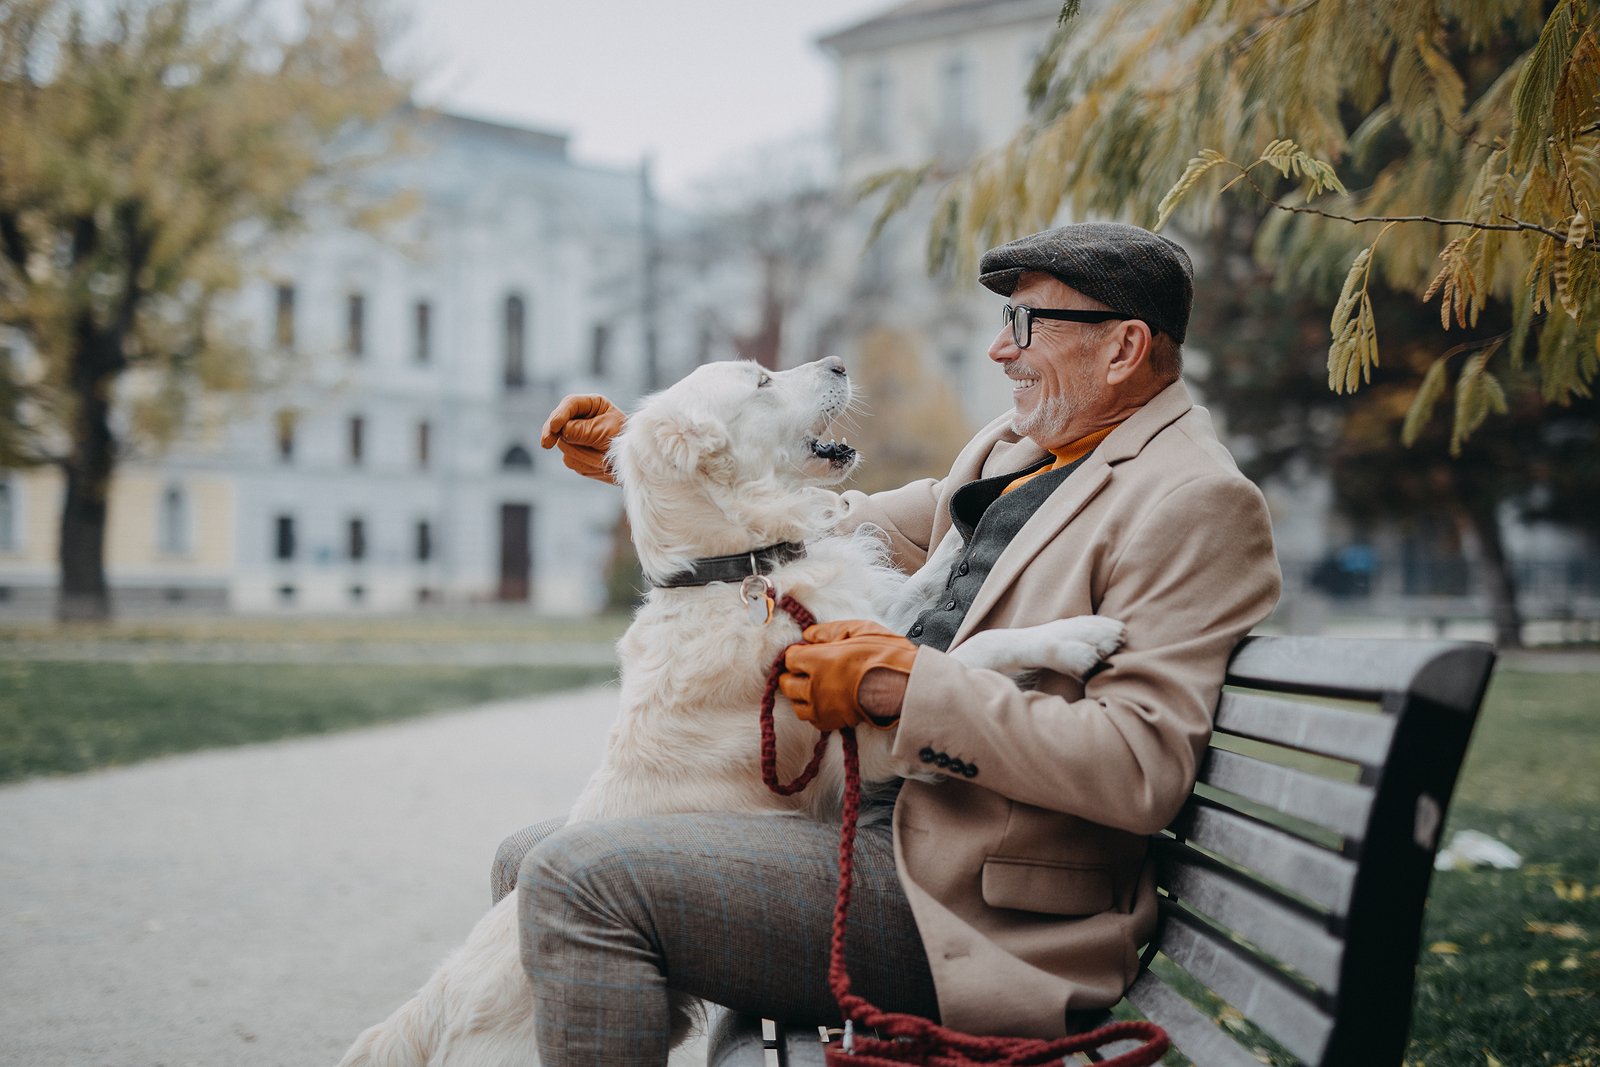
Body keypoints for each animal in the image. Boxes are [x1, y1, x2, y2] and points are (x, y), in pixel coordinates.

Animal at [336, 358, 1120, 1067]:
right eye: (763, 381)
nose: (840, 361)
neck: (742, 571)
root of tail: (427, 1015)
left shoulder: (862, 623)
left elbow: (922, 581)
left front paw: (975, 505)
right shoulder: (871, 734)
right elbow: (969, 652)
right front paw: (1072, 636)